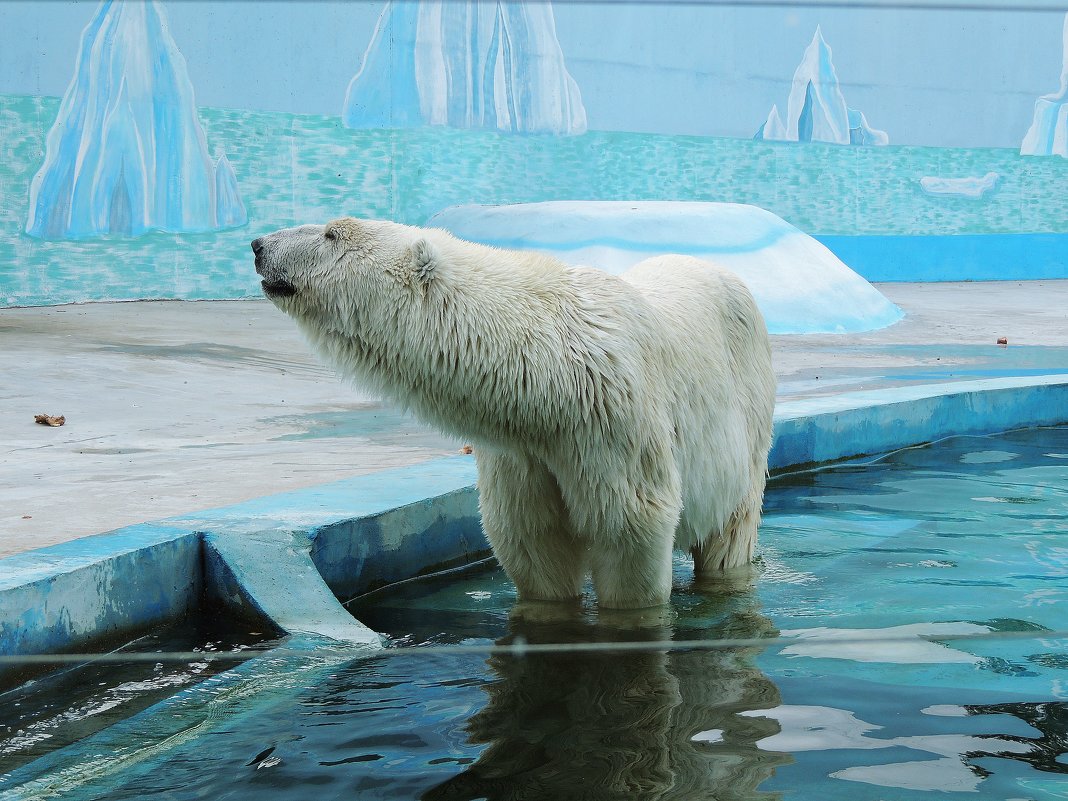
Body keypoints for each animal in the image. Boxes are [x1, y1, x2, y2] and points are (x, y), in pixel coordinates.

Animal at [258, 217, 777, 606]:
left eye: (332, 234)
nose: (258, 245)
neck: (549, 372)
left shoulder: (612, 418)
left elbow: (630, 524)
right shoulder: (519, 448)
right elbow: (532, 540)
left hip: (747, 413)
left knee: (731, 529)